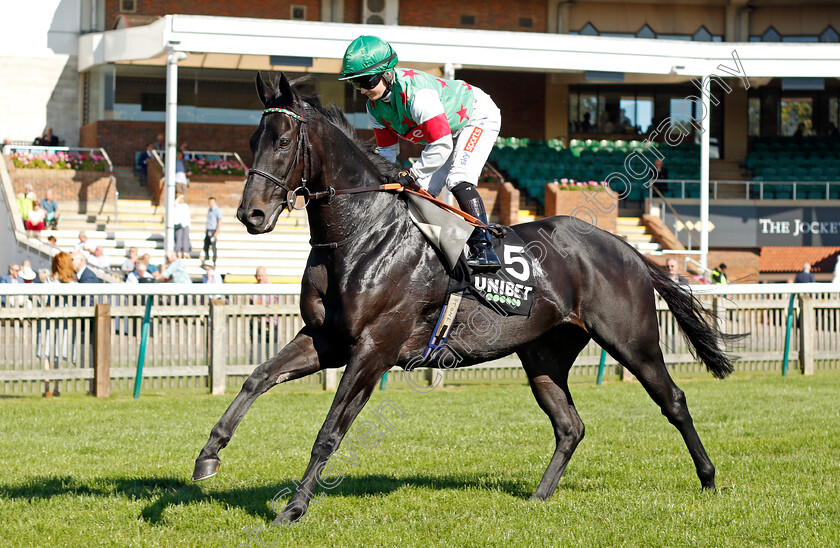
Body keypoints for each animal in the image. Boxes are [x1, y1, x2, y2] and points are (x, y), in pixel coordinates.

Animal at [192, 70, 740, 524]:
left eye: (284, 141)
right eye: (252, 140)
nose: (250, 215)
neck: (361, 234)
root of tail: (624, 246)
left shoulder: (374, 350)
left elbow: (329, 431)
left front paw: (294, 508)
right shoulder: (327, 339)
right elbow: (258, 378)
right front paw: (208, 454)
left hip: (632, 339)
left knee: (673, 400)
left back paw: (709, 478)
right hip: (544, 353)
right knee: (570, 425)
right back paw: (539, 496)